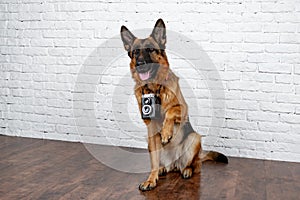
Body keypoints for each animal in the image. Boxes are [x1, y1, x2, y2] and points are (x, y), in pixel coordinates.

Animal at [120, 19, 227, 192]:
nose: (141, 64)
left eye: (150, 49)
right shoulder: (150, 127)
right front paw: (151, 180)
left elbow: (170, 111)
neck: (155, 89)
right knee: (160, 163)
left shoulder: (183, 109)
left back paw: (187, 170)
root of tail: (174, 163)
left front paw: (166, 133)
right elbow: (153, 162)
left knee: (195, 165)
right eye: (135, 52)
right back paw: (161, 170)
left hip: (194, 138)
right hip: (150, 142)